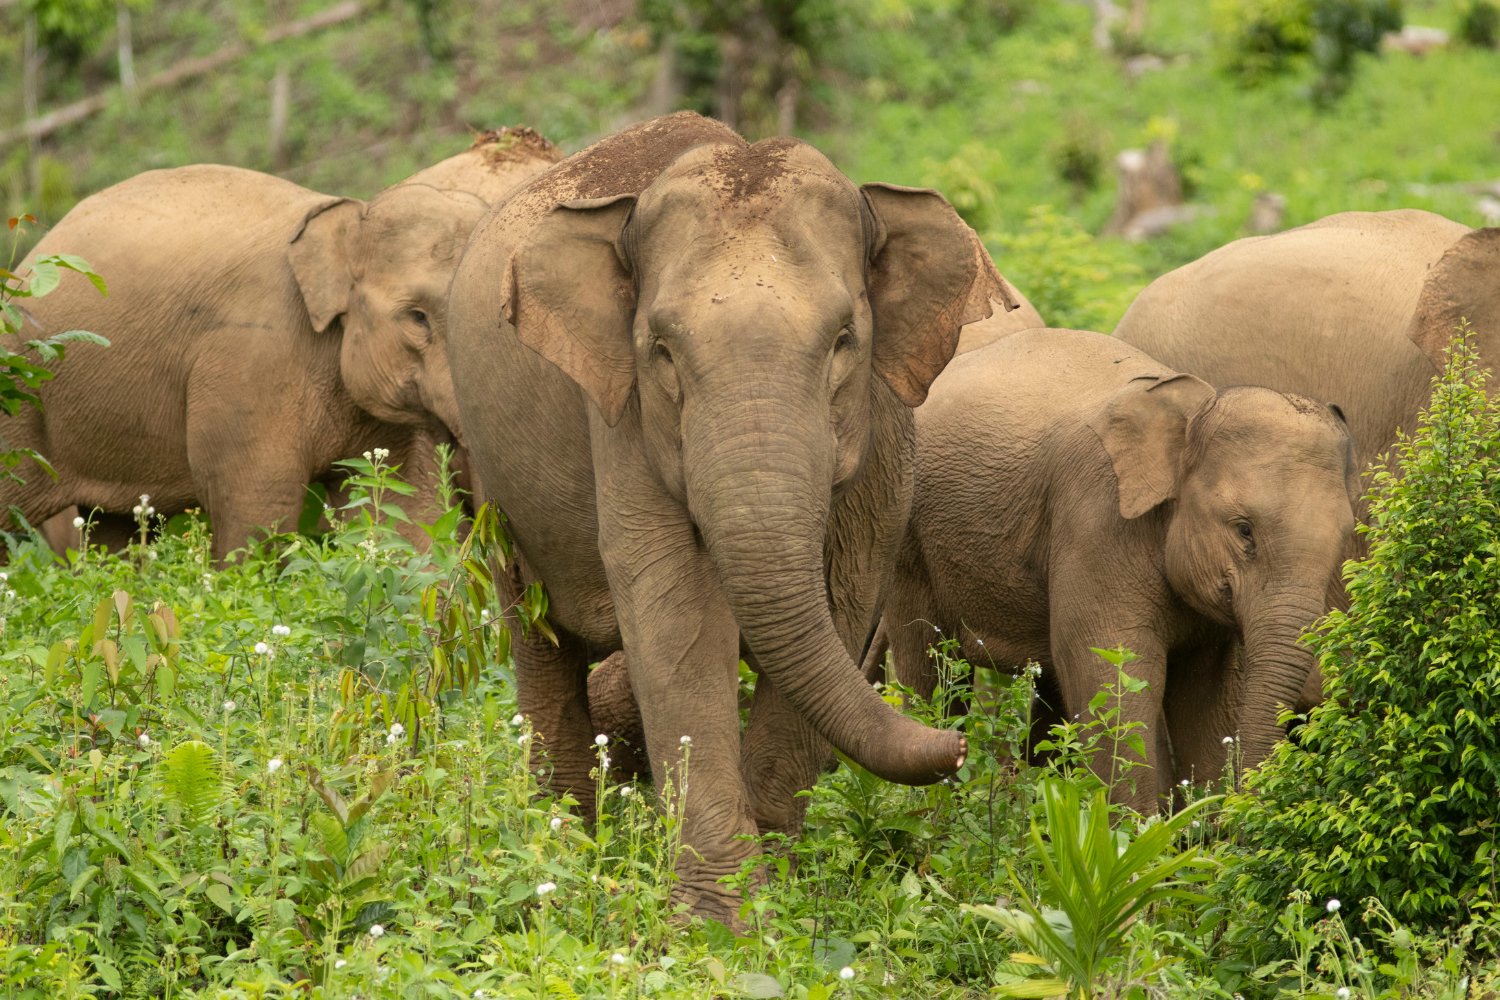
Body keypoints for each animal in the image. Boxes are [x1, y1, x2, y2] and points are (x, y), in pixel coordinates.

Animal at [11, 128, 559, 562]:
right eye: (417, 318)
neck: (353, 216)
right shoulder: (250, 360)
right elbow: (258, 509)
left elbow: (401, 509)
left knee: (114, 525)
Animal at [446, 111, 1017, 923]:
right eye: (661, 350)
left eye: (845, 340)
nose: (957, 748)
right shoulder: (624, 421)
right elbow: (678, 611)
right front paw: (721, 924)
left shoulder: (883, 427)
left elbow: (843, 594)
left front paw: (778, 889)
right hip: (487, 475)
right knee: (539, 640)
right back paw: (568, 850)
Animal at [866, 328, 1358, 812]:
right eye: (1244, 530)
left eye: (1344, 537)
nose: (1244, 804)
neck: (1194, 408)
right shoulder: (1097, 522)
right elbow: (1110, 671)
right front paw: (1136, 831)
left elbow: (1208, 695)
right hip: (909, 538)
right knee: (931, 667)